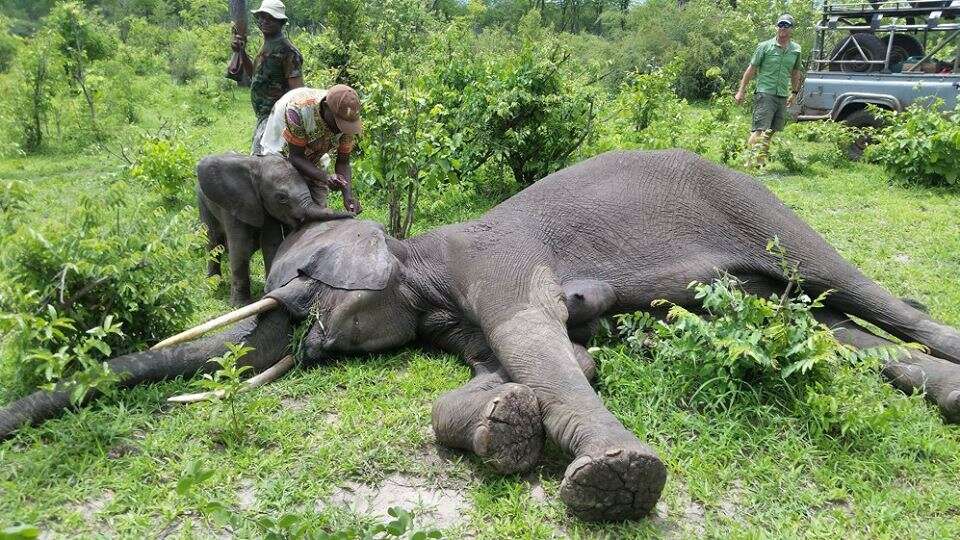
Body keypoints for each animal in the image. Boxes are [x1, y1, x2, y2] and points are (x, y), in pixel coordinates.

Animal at [197, 152, 354, 306]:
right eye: (282, 198)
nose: (353, 211)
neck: (257, 166)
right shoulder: (236, 202)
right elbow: (240, 247)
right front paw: (241, 305)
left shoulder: (268, 206)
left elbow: (271, 242)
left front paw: (270, 292)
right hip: (203, 202)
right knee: (213, 241)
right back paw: (214, 283)